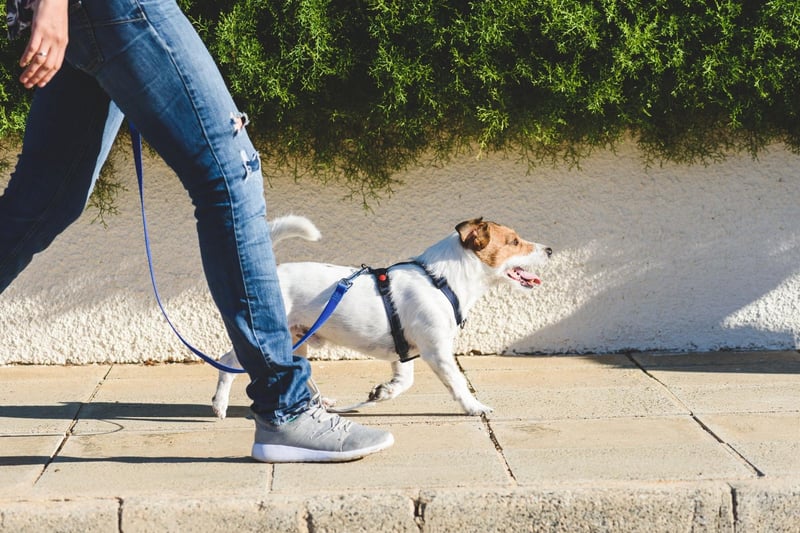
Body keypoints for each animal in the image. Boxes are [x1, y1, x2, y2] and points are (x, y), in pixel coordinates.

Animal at [211, 214, 552, 418]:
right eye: (514, 242)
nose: (549, 250)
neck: (441, 280)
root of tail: (272, 274)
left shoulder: (405, 352)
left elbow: (404, 382)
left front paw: (383, 392)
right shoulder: (437, 351)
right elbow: (457, 383)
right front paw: (474, 406)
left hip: (297, 340)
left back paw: (321, 403)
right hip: (269, 339)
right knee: (227, 362)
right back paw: (220, 404)